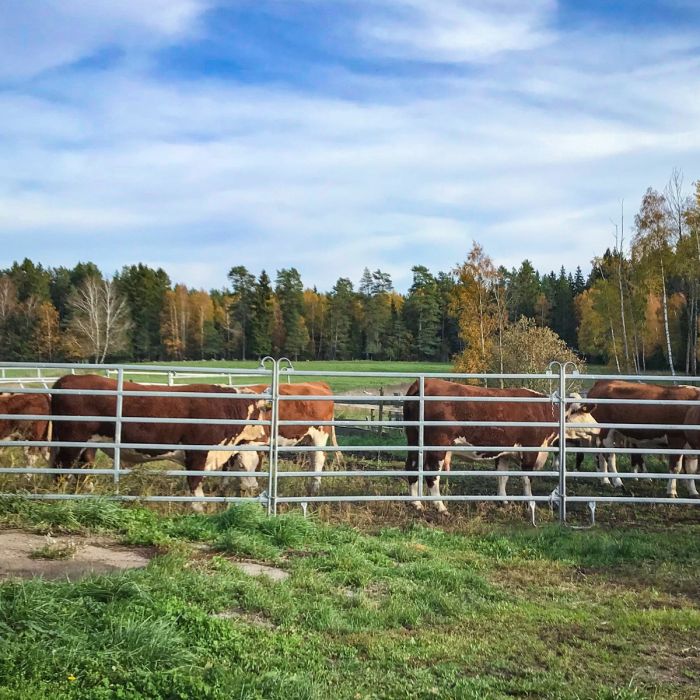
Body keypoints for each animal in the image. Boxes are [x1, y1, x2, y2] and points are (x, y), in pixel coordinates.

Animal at [50, 372, 270, 508]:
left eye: (257, 465)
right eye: (241, 465)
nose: (253, 489)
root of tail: (68, 379)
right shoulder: (197, 452)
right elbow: (195, 482)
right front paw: (198, 507)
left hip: (89, 445)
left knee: (83, 469)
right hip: (71, 443)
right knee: (60, 471)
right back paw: (58, 498)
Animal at [402, 380, 600, 516]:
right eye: (582, 411)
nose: (599, 427)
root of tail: (425, 383)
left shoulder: (504, 452)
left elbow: (502, 477)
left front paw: (503, 500)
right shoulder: (530, 451)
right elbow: (527, 479)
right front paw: (530, 503)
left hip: (414, 440)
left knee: (412, 467)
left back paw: (416, 503)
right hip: (437, 446)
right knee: (431, 474)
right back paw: (440, 506)